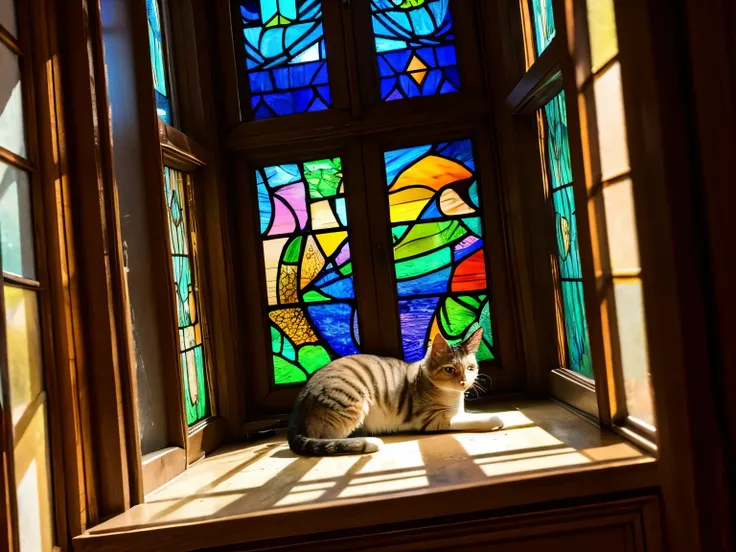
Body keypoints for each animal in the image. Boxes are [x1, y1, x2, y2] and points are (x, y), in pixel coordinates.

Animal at [288, 328, 506, 458]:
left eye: (470, 368)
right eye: (449, 370)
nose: (464, 382)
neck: (453, 397)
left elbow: (469, 414)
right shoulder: (434, 420)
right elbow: (476, 419)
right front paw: (495, 419)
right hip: (352, 401)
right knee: (329, 438)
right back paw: (368, 441)